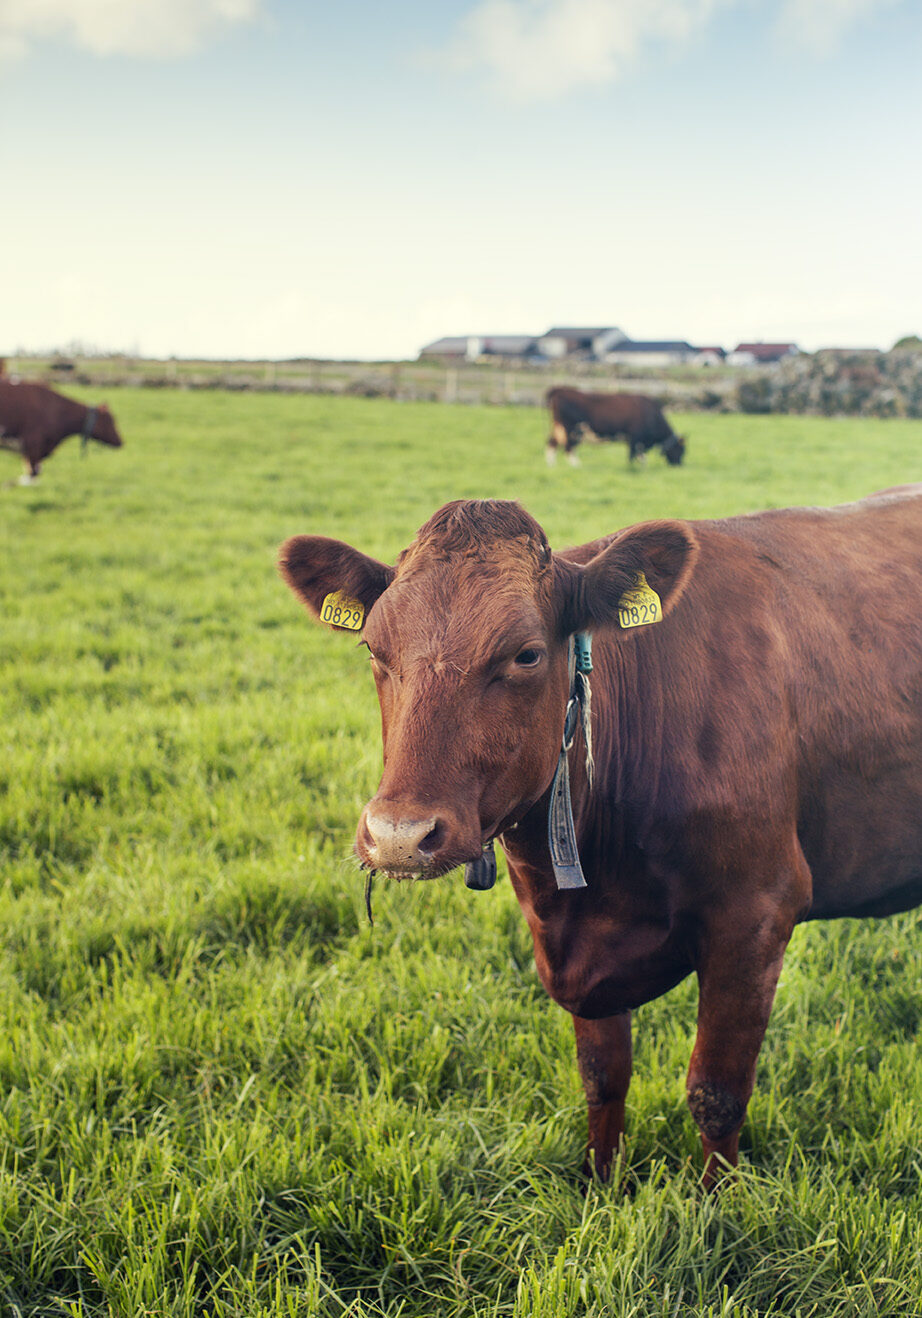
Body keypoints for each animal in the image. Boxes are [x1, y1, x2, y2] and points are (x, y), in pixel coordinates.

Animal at [280, 490, 922, 1191]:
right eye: (374, 648)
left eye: (526, 654)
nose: (399, 834)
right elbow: (602, 1077)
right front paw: (598, 1182)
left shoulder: (756, 914)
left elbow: (717, 1091)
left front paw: (717, 1202)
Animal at [542, 384, 690, 469]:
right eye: (681, 450)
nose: (679, 465)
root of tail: (560, 390)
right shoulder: (634, 437)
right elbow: (632, 454)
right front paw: (631, 467)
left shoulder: (639, 440)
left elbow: (640, 455)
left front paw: (643, 466)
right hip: (571, 429)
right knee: (568, 447)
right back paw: (576, 465)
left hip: (557, 428)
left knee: (551, 444)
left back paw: (551, 466)